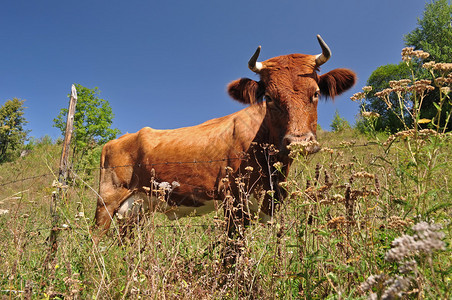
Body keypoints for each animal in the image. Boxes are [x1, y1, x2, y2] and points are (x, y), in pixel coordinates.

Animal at [93, 35, 356, 240]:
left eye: (316, 93)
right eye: (269, 97)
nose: (299, 142)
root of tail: (118, 140)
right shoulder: (234, 201)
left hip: (137, 209)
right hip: (106, 201)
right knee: (96, 238)